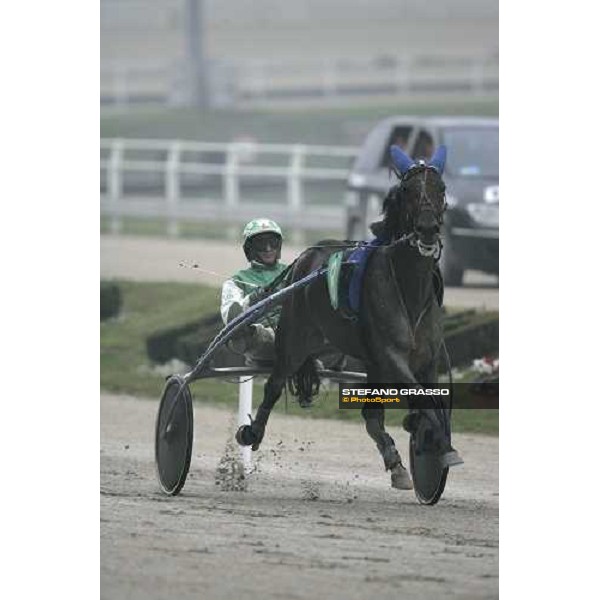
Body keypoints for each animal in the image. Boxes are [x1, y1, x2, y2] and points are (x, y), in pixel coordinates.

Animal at [237, 145, 462, 496]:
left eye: (441, 188)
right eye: (408, 191)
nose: (427, 229)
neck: (408, 287)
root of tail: (306, 256)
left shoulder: (426, 358)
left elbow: (426, 402)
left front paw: (427, 440)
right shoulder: (391, 356)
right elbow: (420, 400)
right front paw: (437, 443)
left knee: (371, 416)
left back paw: (397, 464)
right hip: (295, 337)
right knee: (274, 384)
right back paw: (252, 433)